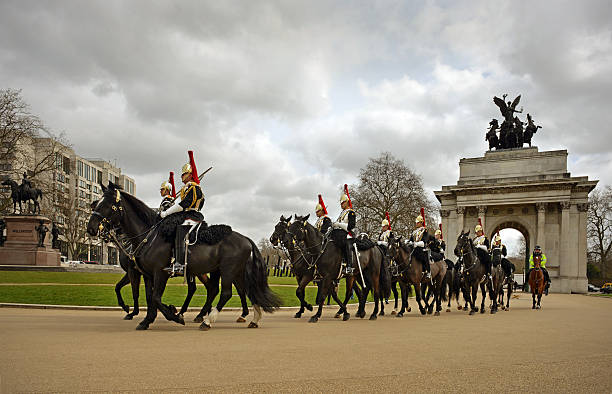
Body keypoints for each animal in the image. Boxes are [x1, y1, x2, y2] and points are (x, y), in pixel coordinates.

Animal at [87, 183, 280, 330]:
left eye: (107, 205)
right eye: (97, 204)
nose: (91, 228)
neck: (148, 235)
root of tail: (245, 238)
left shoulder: (159, 273)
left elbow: (155, 297)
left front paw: (173, 314)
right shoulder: (147, 274)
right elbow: (149, 297)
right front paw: (147, 320)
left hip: (228, 270)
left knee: (226, 293)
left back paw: (208, 320)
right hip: (227, 271)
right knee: (238, 290)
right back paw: (251, 318)